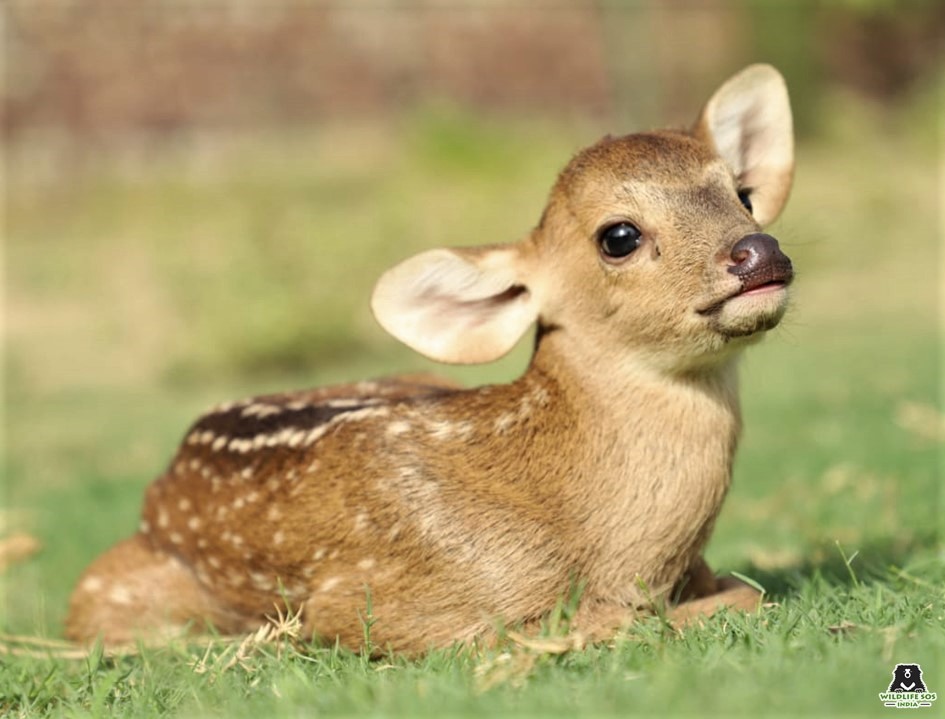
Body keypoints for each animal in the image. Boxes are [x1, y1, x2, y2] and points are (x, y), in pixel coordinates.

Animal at [64, 64, 796, 656]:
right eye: (618, 235)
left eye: (742, 195)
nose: (758, 252)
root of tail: (159, 482)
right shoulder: (372, 601)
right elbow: (634, 615)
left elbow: (740, 589)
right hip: (108, 592)